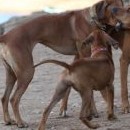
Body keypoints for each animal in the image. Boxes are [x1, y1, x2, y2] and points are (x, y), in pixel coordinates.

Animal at [0, 0, 125, 128]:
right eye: (115, 10)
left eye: (124, 7)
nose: (121, 25)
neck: (92, 19)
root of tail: (5, 37)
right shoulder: (85, 55)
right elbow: (96, 92)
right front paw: (94, 112)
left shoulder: (78, 57)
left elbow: (71, 89)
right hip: (27, 72)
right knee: (14, 99)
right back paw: (20, 122)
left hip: (11, 75)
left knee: (4, 97)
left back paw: (8, 120)